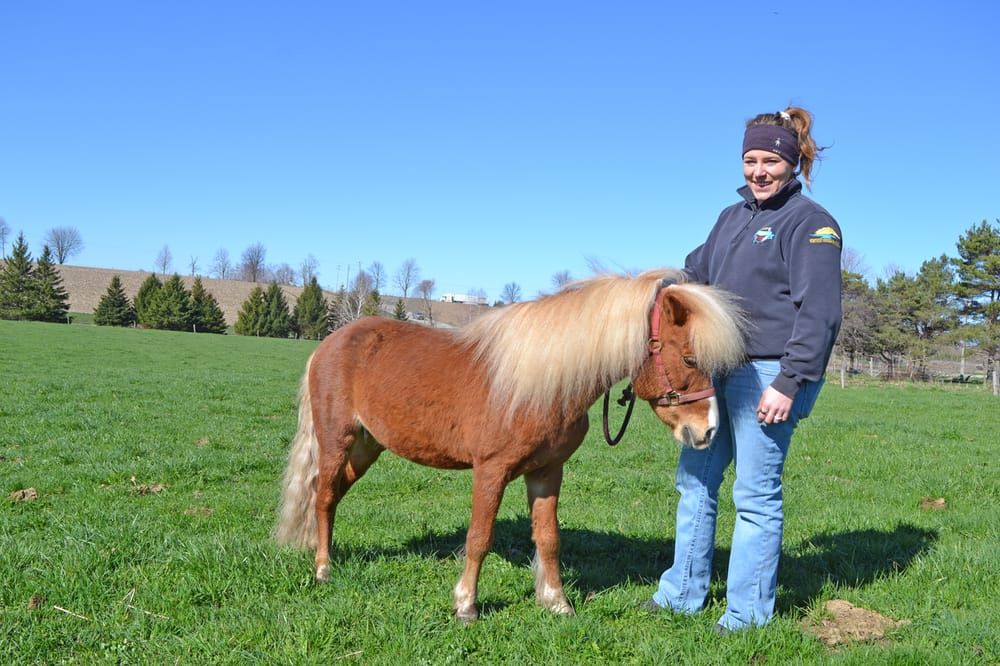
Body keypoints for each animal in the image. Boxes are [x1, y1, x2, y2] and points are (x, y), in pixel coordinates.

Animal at [275, 268, 746, 621]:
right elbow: (479, 537)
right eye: (689, 358)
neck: (542, 384)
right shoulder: (491, 470)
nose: (707, 431)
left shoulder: (547, 472)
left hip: (368, 446)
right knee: (323, 497)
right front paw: (466, 605)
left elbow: (549, 538)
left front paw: (556, 602)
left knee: (331, 498)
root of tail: (330, 344)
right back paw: (323, 569)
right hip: (337, 441)